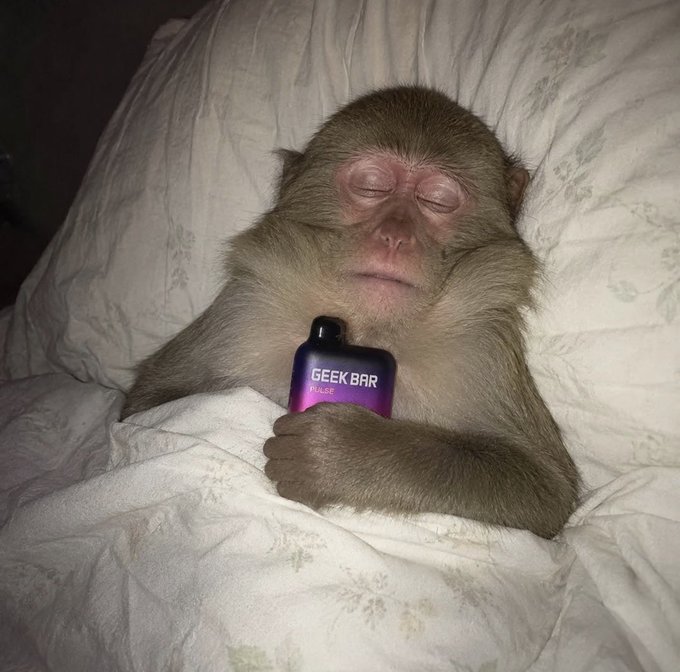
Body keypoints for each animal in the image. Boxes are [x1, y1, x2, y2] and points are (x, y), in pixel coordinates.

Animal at [122, 86, 580, 539]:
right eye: (372, 186)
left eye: (438, 199)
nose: (394, 236)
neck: (366, 331)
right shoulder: (244, 308)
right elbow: (148, 408)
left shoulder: (482, 346)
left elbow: (543, 485)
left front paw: (338, 454)